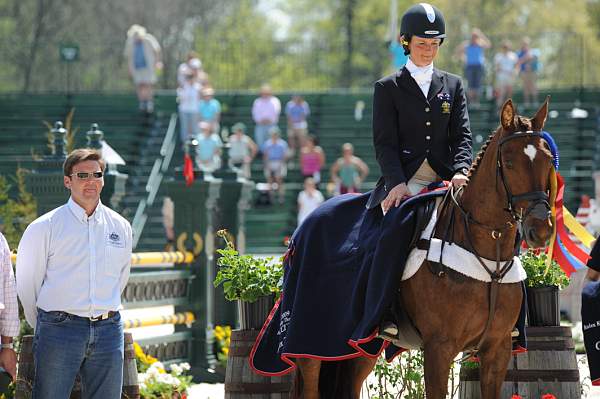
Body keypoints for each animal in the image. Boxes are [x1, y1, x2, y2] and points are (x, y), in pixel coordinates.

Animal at [296, 98, 552, 398]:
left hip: (360, 349)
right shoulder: (439, 347)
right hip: (311, 348)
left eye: (548, 160)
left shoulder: (497, 350)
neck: (488, 261)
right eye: (509, 162)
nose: (541, 229)